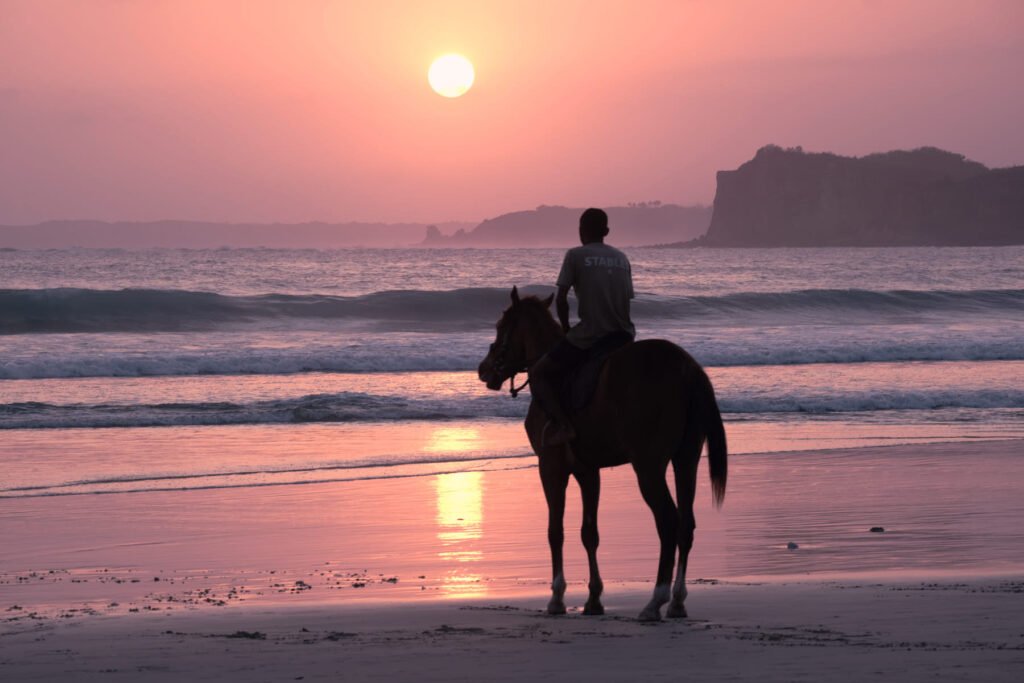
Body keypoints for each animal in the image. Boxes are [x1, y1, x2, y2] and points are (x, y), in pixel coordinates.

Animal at [479, 286, 729, 622]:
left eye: (500, 326)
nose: (483, 368)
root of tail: (688, 369)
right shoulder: (588, 471)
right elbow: (590, 533)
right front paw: (594, 599)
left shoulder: (551, 467)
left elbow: (555, 531)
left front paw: (557, 598)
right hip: (686, 460)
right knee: (686, 525)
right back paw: (677, 601)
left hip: (648, 466)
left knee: (668, 521)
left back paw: (655, 601)